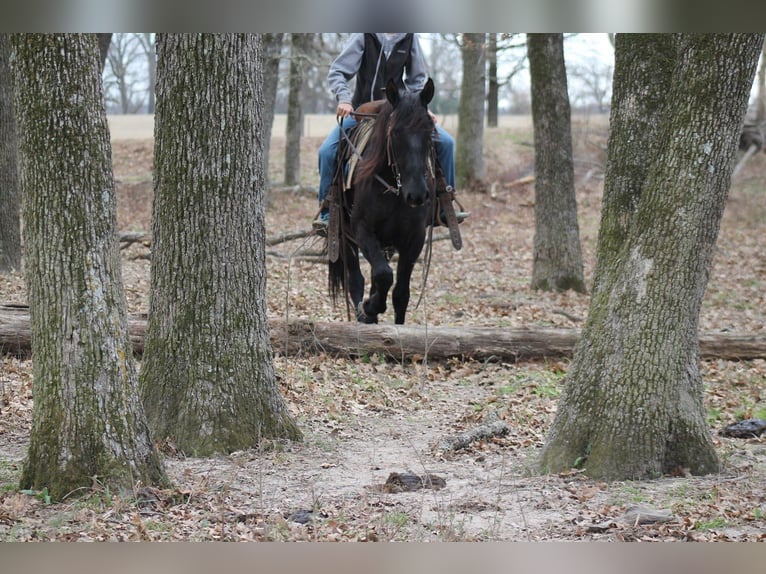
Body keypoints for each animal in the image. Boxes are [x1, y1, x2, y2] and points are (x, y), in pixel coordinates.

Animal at [328, 77, 437, 325]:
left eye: (429, 131)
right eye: (395, 132)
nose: (417, 194)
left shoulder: (414, 238)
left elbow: (401, 294)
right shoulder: (362, 229)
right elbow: (383, 275)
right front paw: (370, 307)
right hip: (344, 235)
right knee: (356, 280)